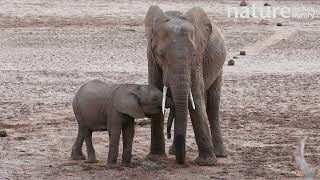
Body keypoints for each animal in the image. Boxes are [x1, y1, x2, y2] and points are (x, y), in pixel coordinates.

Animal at [145, 6, 228, 165]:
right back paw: (173, 151)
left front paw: (206, 163)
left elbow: (196, 95)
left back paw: (220, 154)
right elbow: (155, 91)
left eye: (193, 54)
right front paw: (155, 158)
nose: (181, 161)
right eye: (161, 54)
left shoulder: (198, 59)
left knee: (212, 107)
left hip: (219, 69)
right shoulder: (151, 57)